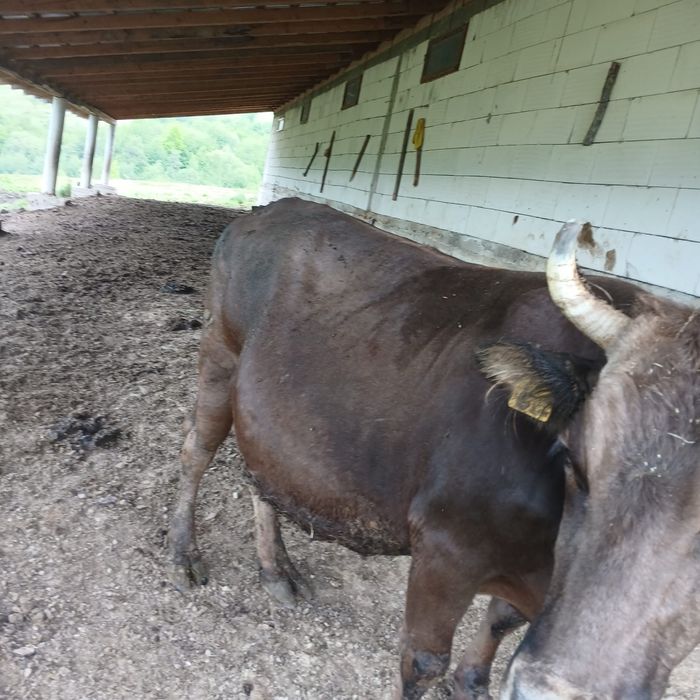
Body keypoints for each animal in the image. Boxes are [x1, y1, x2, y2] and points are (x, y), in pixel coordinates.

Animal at [168, 198, 694, 698]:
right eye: (573, 459)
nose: (551, 690)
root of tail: (273, 208)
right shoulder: (446, 545)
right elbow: (423, 662)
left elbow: (500, 621)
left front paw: (473, 682)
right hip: (219, 354)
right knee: (197, 450)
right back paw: (183, 554)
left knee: (260, 473)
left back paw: (276, 570)